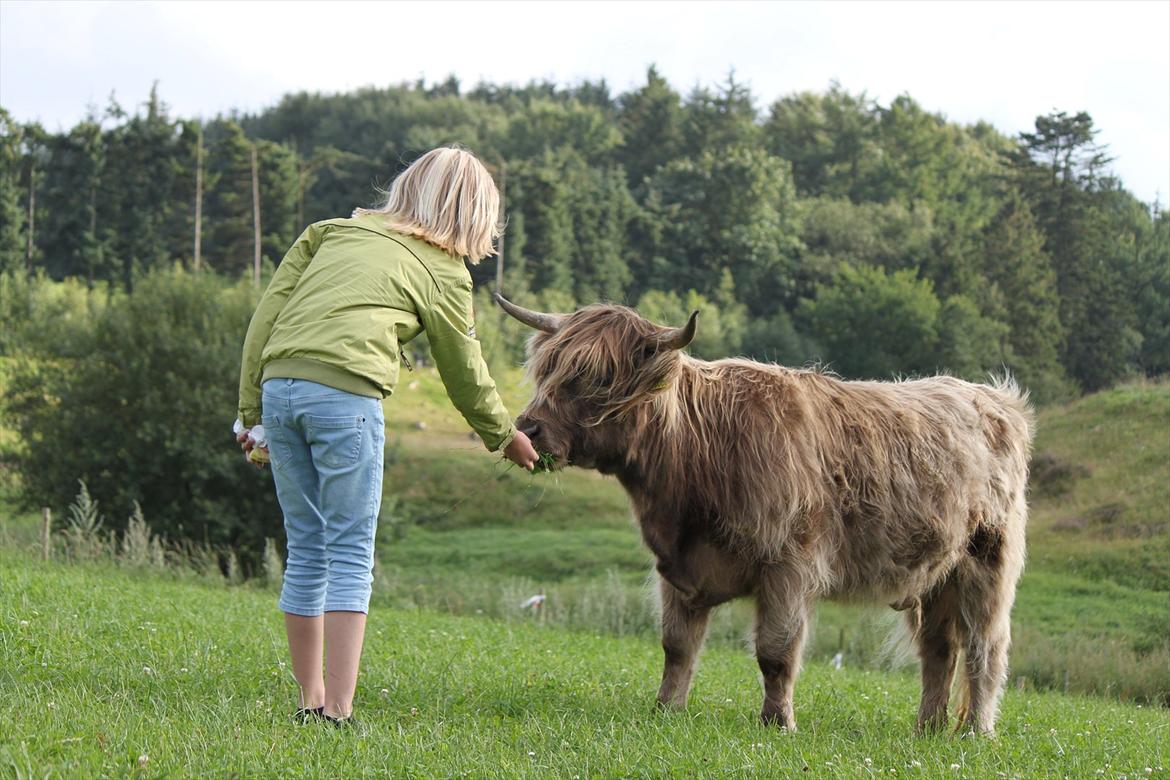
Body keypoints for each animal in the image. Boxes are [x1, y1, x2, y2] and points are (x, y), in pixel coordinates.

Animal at [496, 294, 1034, 736]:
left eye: (597, 377)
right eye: (547, 370)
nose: (528, 428)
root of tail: (993, 397)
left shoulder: (789, 565)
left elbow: (776, 652)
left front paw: (778, 723)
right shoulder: (677, 569)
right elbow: (677, 646)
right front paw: (667, 709)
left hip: (988, 562)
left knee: (986, 647)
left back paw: (975, 731)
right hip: (938, 575)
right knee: (939, 650)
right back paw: (928, 727)